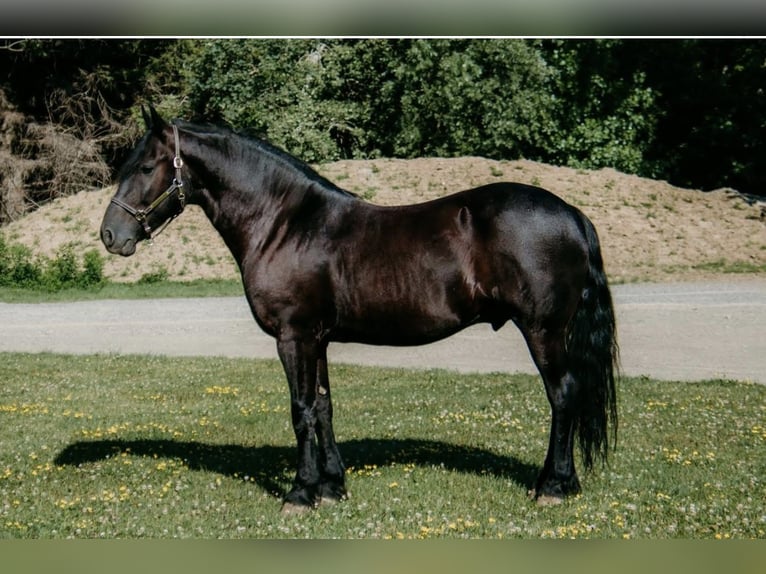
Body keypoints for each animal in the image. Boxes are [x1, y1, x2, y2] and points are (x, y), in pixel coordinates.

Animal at [100, 106, 618, 513]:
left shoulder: (294, 337)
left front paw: (300, 494)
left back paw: (553, 486)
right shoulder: (317, 340)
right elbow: (324, 408)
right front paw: (332, 487)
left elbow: (301, 410)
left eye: (145, 167)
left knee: (563, 395)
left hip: (543, 330)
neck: (284, 223)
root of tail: (573, 214)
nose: (110, 235)